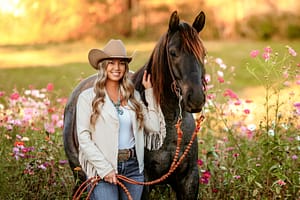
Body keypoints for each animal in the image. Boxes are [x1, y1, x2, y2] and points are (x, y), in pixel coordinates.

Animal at [61, 10, 205, 200]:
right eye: (173, 52)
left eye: (203, 53)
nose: (196, 98)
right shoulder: (143, 182)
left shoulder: (189, 180)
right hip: (80, 176)